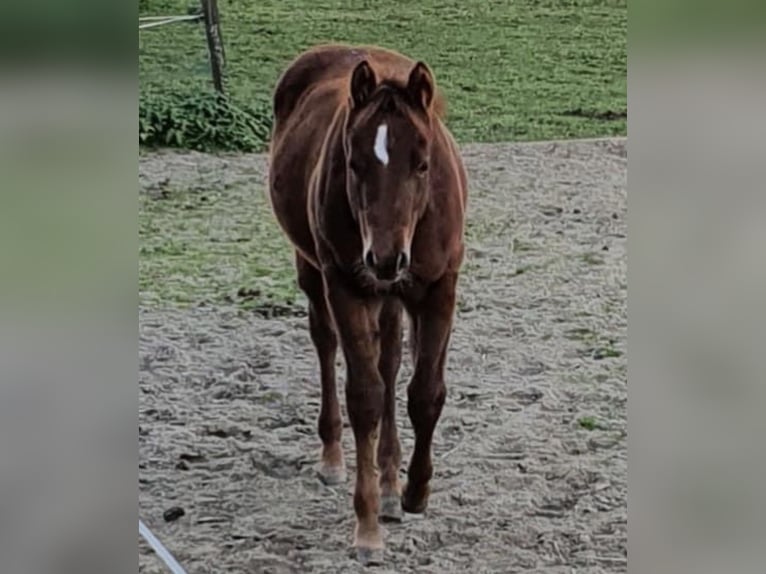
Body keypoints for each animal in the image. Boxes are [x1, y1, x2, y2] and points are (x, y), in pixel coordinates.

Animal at [270, 45, 468, 568]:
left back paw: (391, 481)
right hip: (314, 269)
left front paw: (415, 491)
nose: (384, 258)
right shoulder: (346, 285)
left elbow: (424, 393)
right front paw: (367, 527)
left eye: (422, 163)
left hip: (391, 297)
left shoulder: (440, 287)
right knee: (326, 343)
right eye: (354, 163)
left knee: (390, 361)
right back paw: (334, 458)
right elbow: (364, 397)